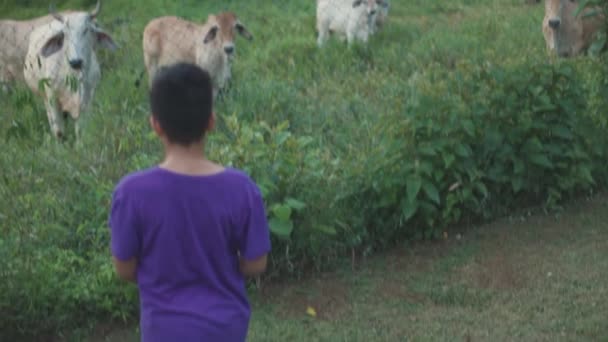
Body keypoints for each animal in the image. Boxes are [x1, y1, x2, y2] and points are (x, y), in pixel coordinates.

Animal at [22, 1, 116, 139]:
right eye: (65, 34)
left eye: (86, 30)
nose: (76, 62)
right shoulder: (52, 98)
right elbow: (59, 132)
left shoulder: (87, 100)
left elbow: (80, 130)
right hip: (44, 96)